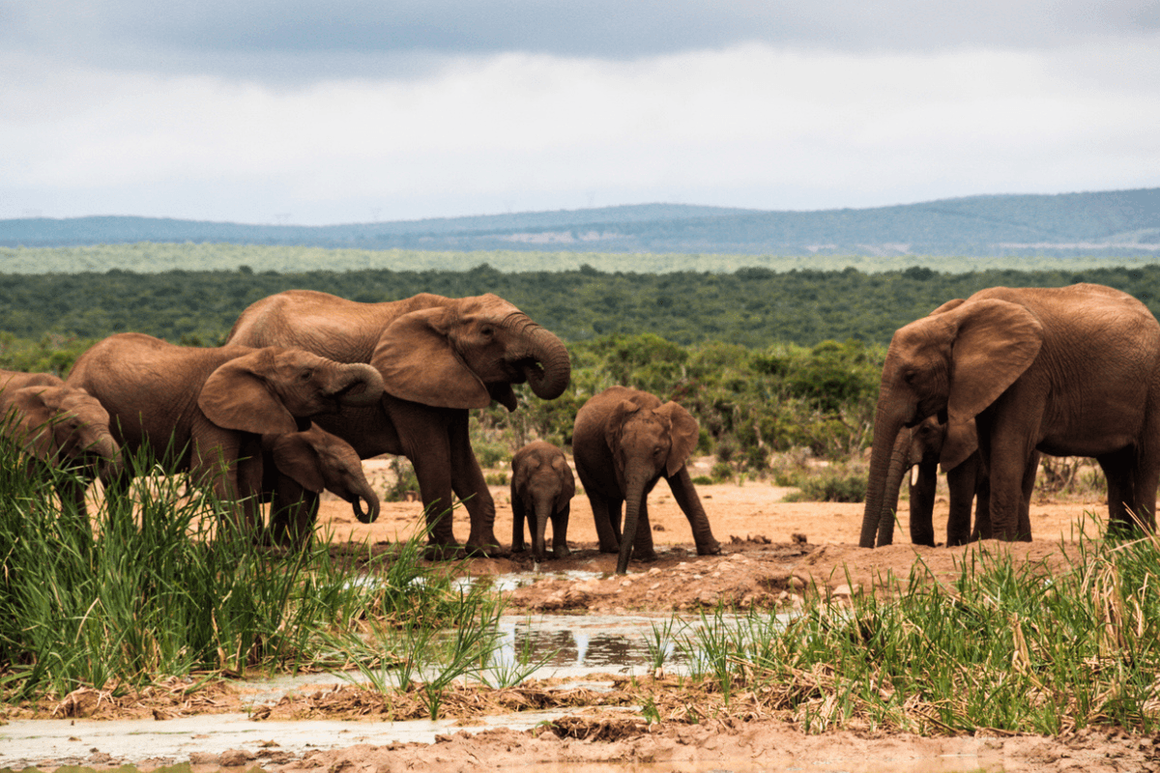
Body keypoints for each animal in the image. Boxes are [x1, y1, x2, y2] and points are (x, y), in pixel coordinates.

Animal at [0, 369, 123, 513]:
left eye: (108, 422)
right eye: (73, 426)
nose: (99, 463)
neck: (56, 392)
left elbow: (72, 490)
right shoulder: (26, 437)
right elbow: (29, 489)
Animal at [66, 333, 384, 531]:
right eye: (306, 375)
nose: (360, 510)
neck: (252, 358)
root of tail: (74, 367)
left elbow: (249, 474)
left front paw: (250, 545)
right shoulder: (207, 414)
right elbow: (212, 472)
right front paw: (237, 549)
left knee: (114, 479)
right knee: (79, 476)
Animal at [250, 424, 381, 549]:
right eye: (341, 470)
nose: (356, 497)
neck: (320, 438)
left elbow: (313, 505)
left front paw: (305, 550)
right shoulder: (286, 468)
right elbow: (297, 504)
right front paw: (299, 551)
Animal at [572, 386, 721, 574]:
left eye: (657, 452)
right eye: (622, 451)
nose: (619, 572)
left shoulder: (675, 449)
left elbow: (684, 487)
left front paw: (713, 551)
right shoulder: (615, 453)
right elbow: (636, 493)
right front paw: (645, 559)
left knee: (615, 500)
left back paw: (619, 545)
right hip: (580, 460)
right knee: (597, 498)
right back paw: (612, 549)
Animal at [860, 283, 1160, 547]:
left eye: (910, 376)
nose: (871, 547)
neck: (955, 318)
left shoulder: (1029, 374)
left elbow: (1007, 447)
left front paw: (1002, 544)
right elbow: (991, 452)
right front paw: (1010, 542)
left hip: (1153, 388)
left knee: (1146, 460)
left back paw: (1142, 541)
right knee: (1115, 466)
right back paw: (1117, 541)